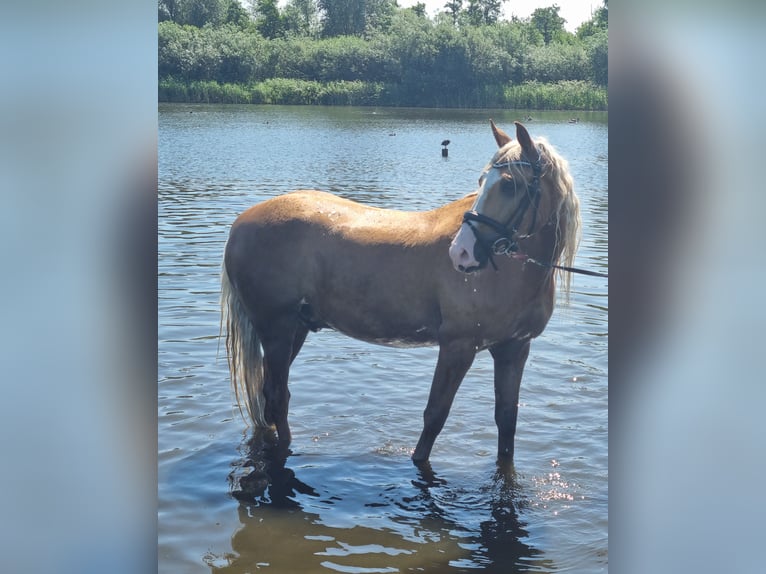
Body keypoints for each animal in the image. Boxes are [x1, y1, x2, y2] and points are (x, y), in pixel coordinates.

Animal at [222, 121, 584, 468]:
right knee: (277, 397)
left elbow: (506, 421)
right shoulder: (457, 347)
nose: (461, 253)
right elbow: (434, 417)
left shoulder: (514, 349)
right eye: (483, 181)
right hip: (277, 329)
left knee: (269, 396)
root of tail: (241, 223)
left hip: (294, 329)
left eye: (509, 185)